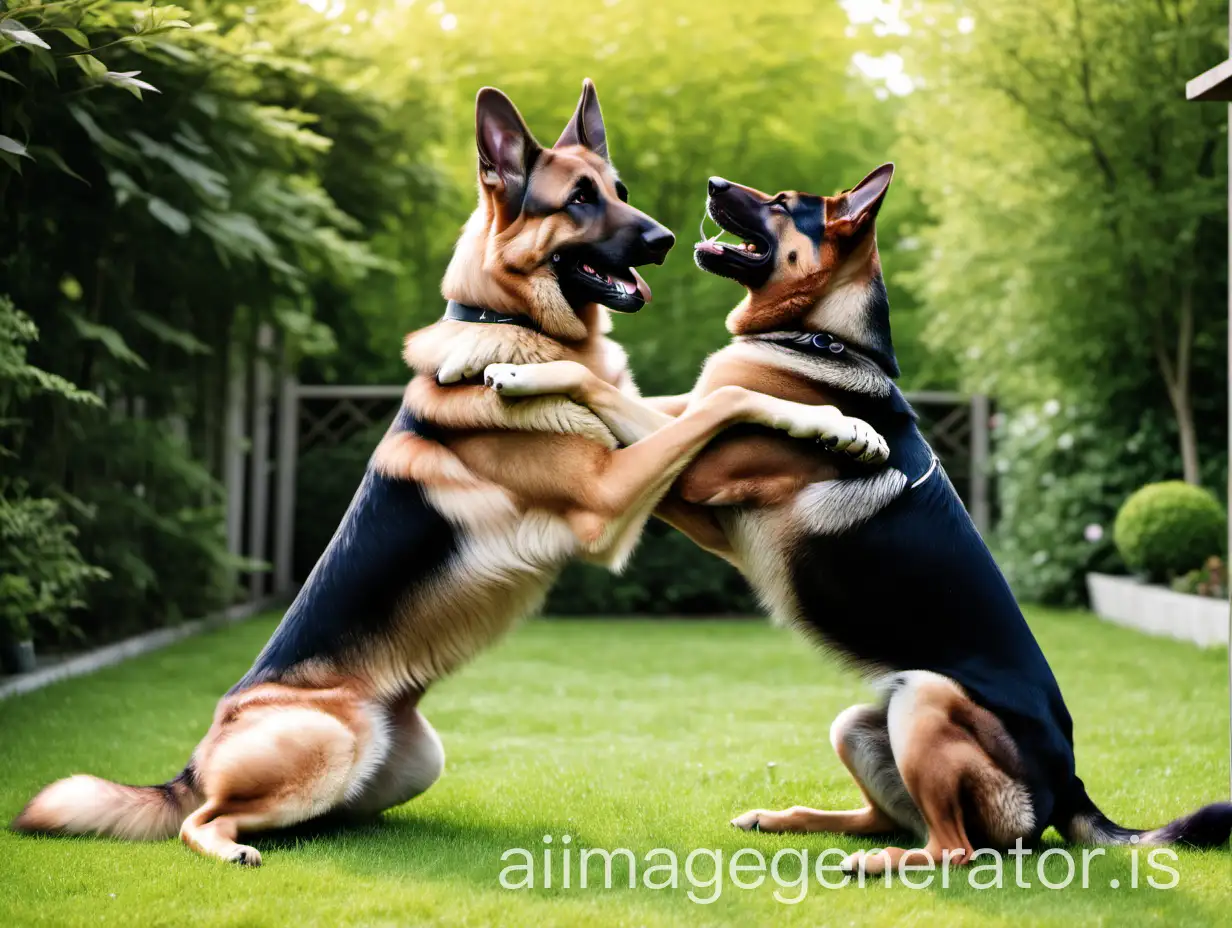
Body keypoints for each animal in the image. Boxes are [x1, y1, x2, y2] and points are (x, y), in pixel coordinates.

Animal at [14, 83, 891, 867]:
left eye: (620, 192)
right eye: (579, 200)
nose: (668, 238)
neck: (513, 322)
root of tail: (191, 764)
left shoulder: (632, 430)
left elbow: (687, 398)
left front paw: (841, 423)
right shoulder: (607, 501)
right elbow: (728, 400)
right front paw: (840, 423)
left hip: (410, 759)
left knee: (309, 818)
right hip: (329, 737)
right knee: (203, 821)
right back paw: (230, 846)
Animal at [480, 166, 1232, 867]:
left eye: (782, 204)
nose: (714, 183)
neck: (815, 337)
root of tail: (1071, 784)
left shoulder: (697, 473)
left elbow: (620, 387)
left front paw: (525, 376)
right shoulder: (702, 495)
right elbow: (640, 394)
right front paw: (523, 373)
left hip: (924, 697)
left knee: (951, 847)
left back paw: (880, 864)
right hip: (859, 723)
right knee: (886, 816)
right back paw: (786, 820)